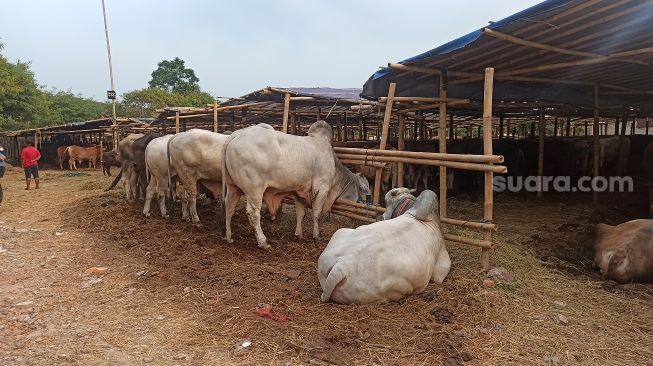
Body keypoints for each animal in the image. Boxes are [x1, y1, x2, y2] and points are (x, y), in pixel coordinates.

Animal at [222, 121, 370, 250]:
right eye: (365, 189)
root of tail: (236, 135)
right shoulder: (322, 187)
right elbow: (316, 213)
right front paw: (316, 235)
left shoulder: (299, 191)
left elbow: (300, 213)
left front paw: (298, 233)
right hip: (254, 190)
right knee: (253, 213)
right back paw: (263, 242)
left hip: (232, 187)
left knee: (229, 208)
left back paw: (229, 237)